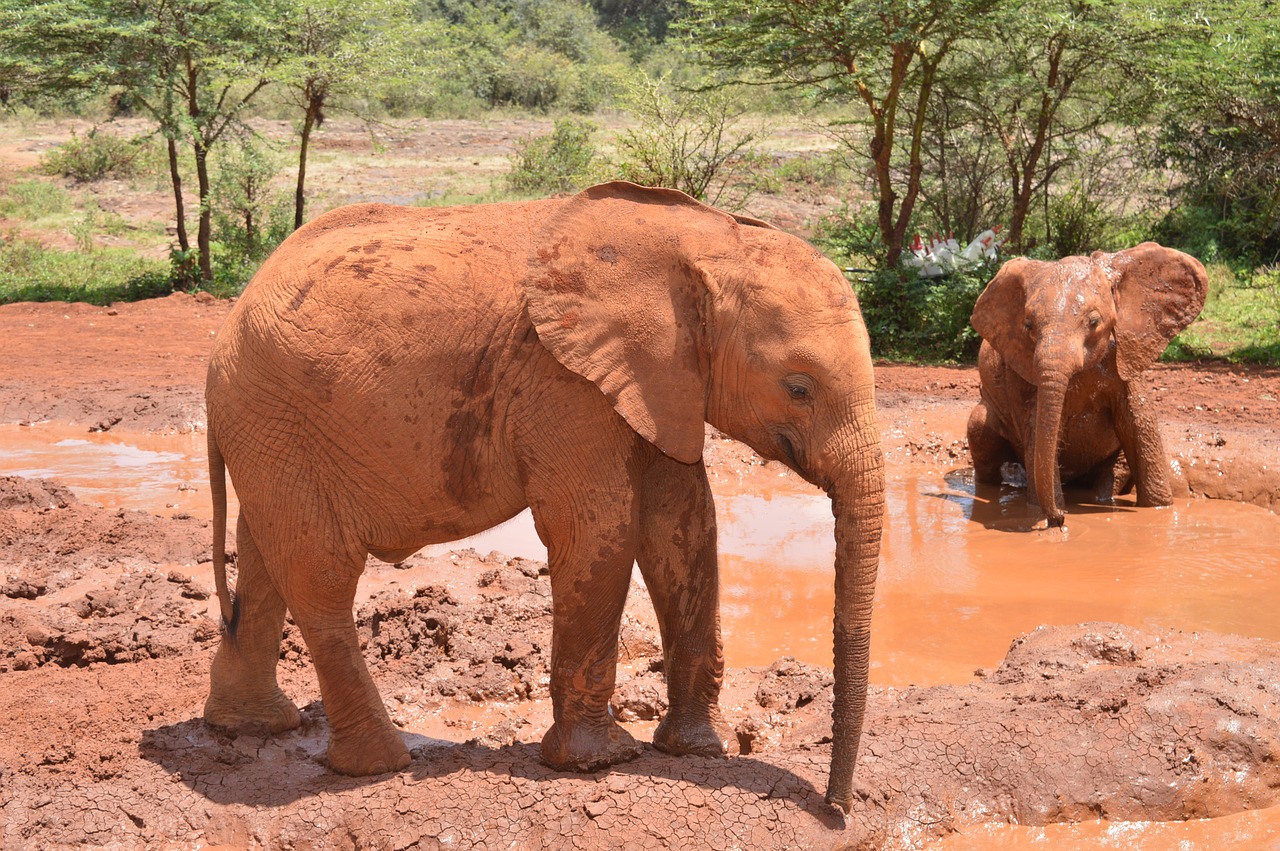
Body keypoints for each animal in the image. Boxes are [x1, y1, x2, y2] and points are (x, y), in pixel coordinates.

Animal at [207, 180, 890, 808]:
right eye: (799, 387)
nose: (835, 807)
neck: (707, 238)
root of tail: (227, 328)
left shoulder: (659, 381)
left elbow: (685, 525)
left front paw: (698, 750)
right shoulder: (562, 380)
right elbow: (600, 529)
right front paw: (599, 762)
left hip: (267, 431)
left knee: (265, 559)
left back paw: (252, 727)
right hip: (274, 417)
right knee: (320, 572)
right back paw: (381, 765)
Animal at [967, 239, 1208, 527]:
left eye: (1094, 322)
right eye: (1028, 325)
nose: (1059, 520)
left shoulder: (1125, 357)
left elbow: (1138, 422)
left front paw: (1159, 510)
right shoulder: (1019, 368)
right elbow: (1036, 428)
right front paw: (1044, 512)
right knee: (978, 428)